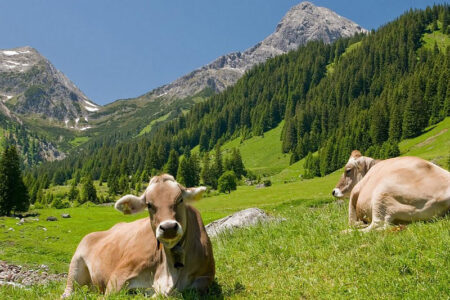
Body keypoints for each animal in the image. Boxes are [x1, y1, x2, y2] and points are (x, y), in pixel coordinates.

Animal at [62, 173, 215, 298]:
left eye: (180, 200)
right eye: (149, 204)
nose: (168, 227)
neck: (170, 271)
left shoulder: (205, 278)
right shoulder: (118, 276)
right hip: (75, 264)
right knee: (69, 291)